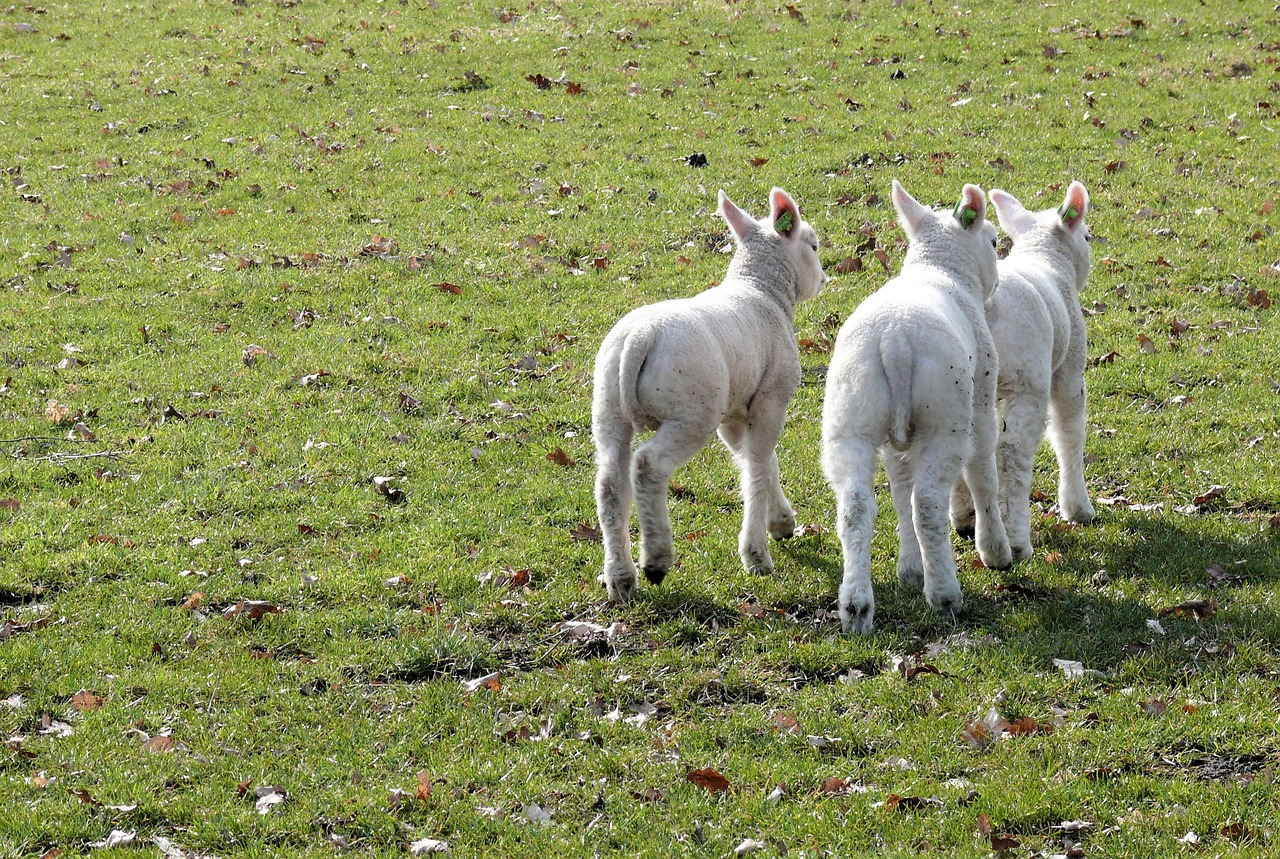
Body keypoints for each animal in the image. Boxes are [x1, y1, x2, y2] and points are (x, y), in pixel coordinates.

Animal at [591, 189, 824, 604]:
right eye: (813, 245)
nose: (824, 279)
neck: (762, 290)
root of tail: (640, 338)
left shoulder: (734, 412)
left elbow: (756, 461)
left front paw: (781, 522)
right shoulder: (771, 398)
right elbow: (758, 467)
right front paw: (756, 553)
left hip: (608, 408)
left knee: (610, 485)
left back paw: (620, 577)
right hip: (691, 413)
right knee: (648, 466)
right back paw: (656, 559)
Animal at [824, 181, 1013, 634]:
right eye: (993, 241)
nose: (997, 283)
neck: (937, 269)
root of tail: (895, 341)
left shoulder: (894, 440)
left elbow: (898, 488)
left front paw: (910, 570)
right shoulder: (981, 398)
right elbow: (983, 475)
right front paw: (995, 551)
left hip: (851, 415)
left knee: (856, 506)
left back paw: (856, 606)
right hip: (945, 416)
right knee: (927, 502)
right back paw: (945, 595)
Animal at [947, 181, 1095, 558]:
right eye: (1087, 237)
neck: (1045, 257)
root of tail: (985, 305)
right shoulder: (1069, 369)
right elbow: (1069, 434)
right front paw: (1078, 508)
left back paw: (965, 517)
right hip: (1029, 382)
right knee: (1012, 455)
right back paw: (1016, 538)